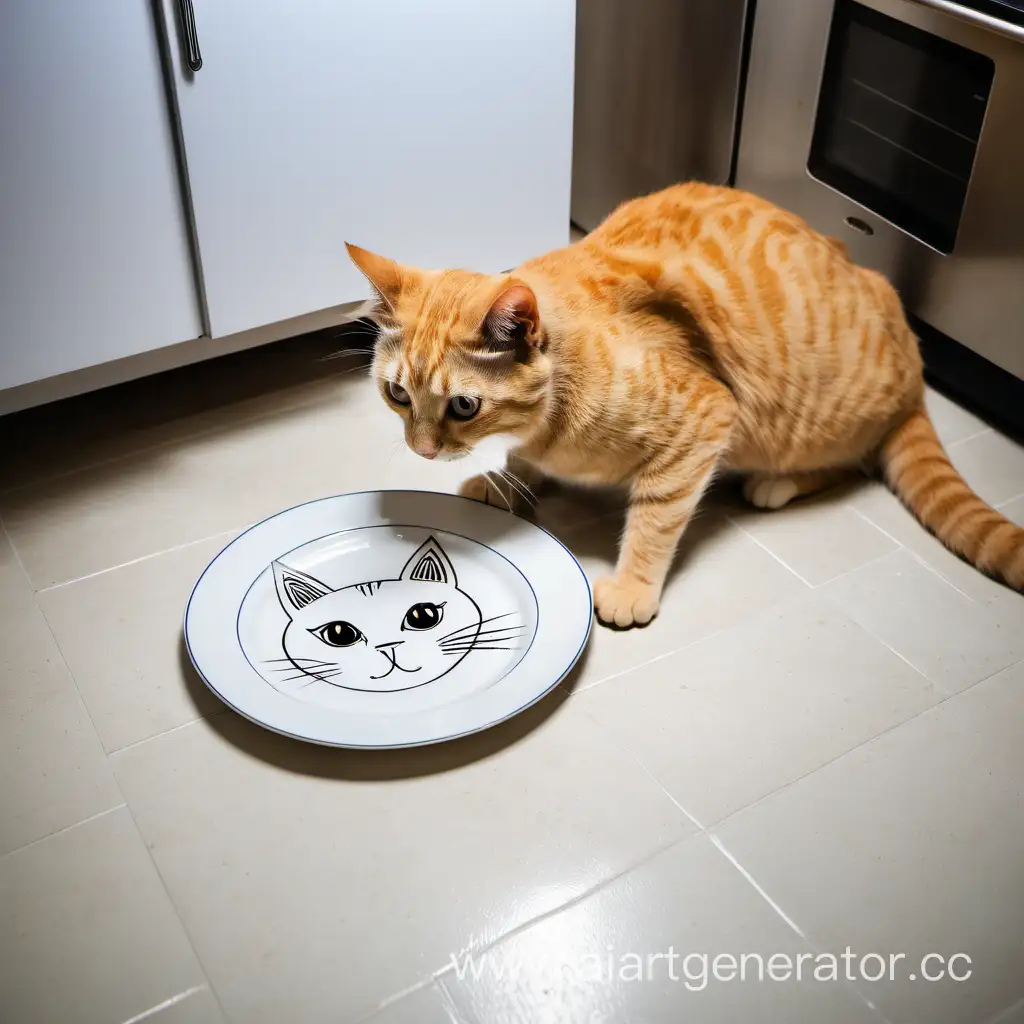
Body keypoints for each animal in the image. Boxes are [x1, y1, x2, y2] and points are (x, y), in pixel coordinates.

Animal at [346, 182, 1024, 622]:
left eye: (463, 407)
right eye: (398, 394)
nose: (422, 451)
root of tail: (912, 358)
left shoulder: (705, 418)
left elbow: (655, 520)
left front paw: (632, 587)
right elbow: (525, 464)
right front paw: (507, 481)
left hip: (796, 425)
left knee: (850, 463)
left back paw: (776, 485)